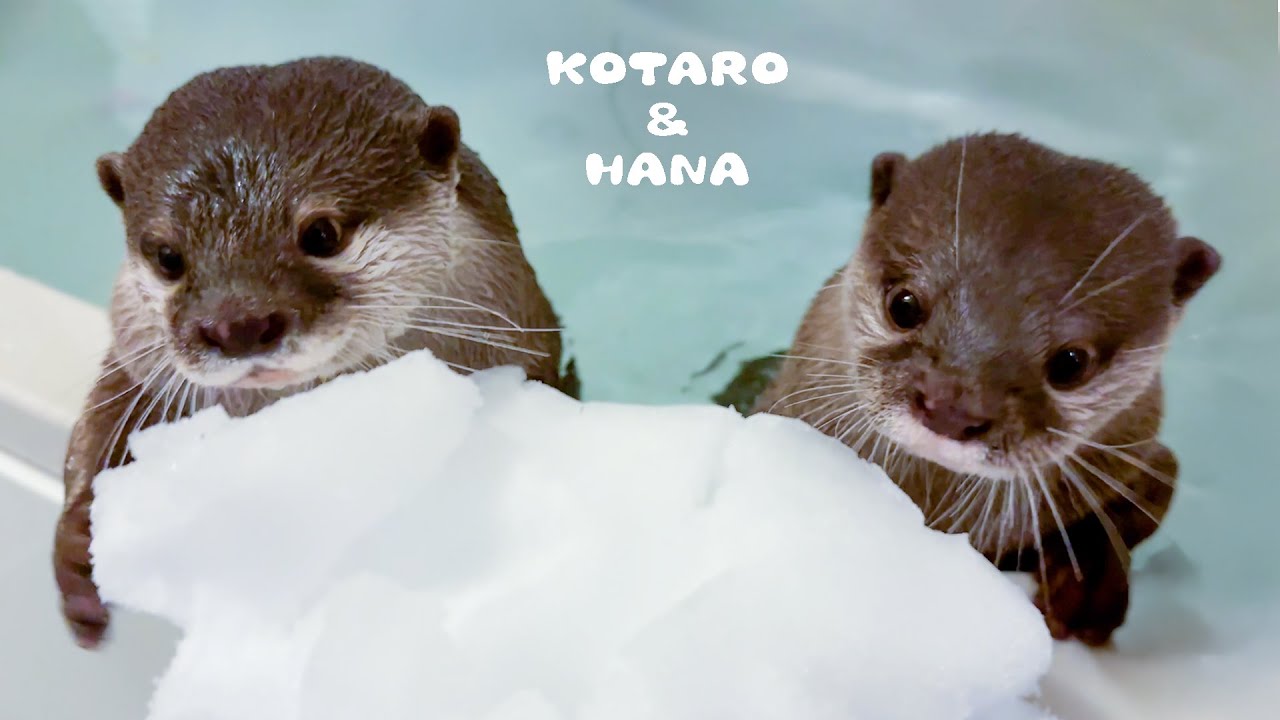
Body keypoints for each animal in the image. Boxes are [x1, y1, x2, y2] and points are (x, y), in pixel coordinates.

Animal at [54, 57, 572, 649]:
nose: (237, 324)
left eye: (323, 233)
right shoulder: (135, 361)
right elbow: (98, 425)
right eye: (167, 256)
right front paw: (80, 547)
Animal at [749, 133, 1220, 645]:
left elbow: (1150, 501)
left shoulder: (1141, 455)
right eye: (904, 305)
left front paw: (1087, 584)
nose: (951, 407)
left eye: (1071, 363)